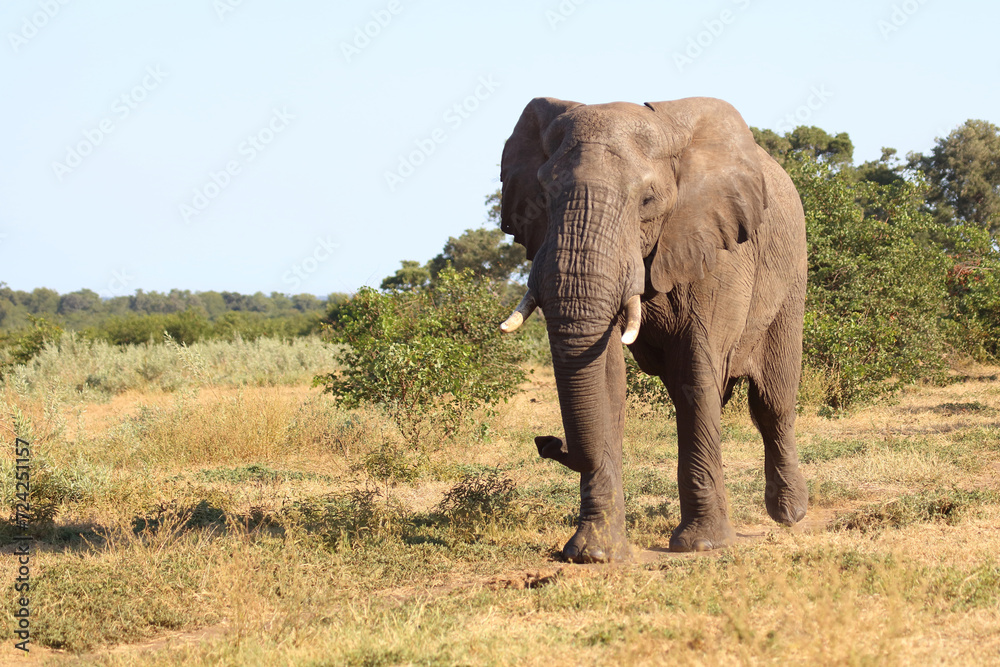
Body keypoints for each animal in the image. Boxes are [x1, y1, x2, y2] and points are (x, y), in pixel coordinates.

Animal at [496, 96, 808, 560]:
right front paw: (594, 554)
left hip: (791, 274)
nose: (548, 442)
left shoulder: (717, 248)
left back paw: (790, 514)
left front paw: (703, 545)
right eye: (545, 195)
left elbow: (698, 370)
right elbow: (607, 378)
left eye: (647, 199)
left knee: (771, 401)